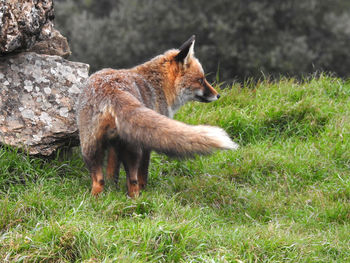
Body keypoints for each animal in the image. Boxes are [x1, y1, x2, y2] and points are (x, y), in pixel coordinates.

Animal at [78, 35, 239, 198]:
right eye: (200, 80)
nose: (218, 95)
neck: (159, 85)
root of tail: (112, 90)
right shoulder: (145, 145)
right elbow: (143, 173)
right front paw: (143, 188)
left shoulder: (114, 143)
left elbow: (112, 171)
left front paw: (113, 189)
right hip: (133, 147)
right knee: (133, 180)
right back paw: (137, 199)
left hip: (89, 147)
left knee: (99, 180)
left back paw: (96, 199)